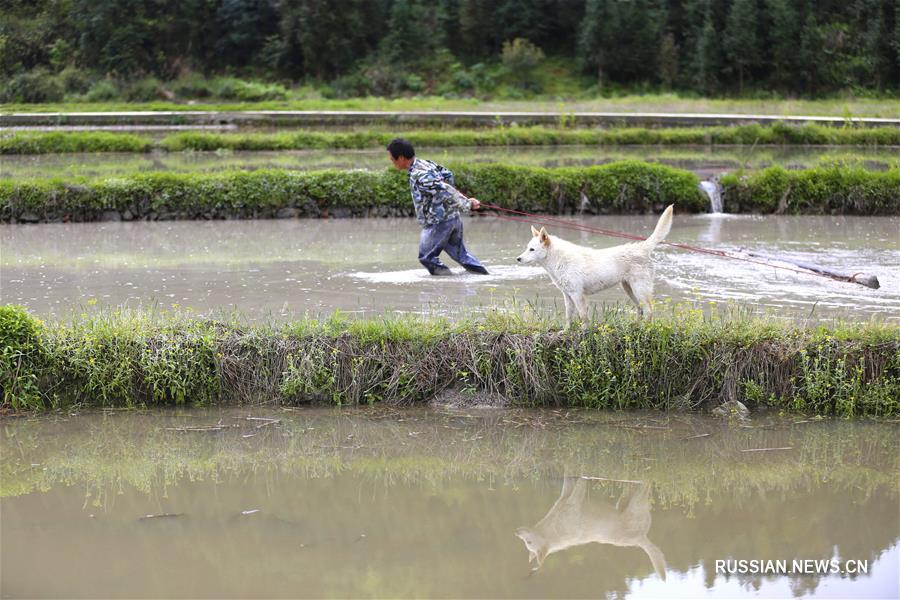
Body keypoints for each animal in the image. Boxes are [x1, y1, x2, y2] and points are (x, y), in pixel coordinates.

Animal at [516, 206, 672, 328]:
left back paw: (645, 328)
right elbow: (569, 316)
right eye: (527, 248)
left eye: (532, 250)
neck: (558, 260)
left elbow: (583, 316)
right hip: (629, 289)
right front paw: (566, 331)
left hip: (639, 289)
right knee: (640, 309)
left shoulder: (577, 294)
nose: (518, 258)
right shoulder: (567, 295)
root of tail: (642, 247)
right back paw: (636, 326)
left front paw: (584, 332)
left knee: (649, 310)